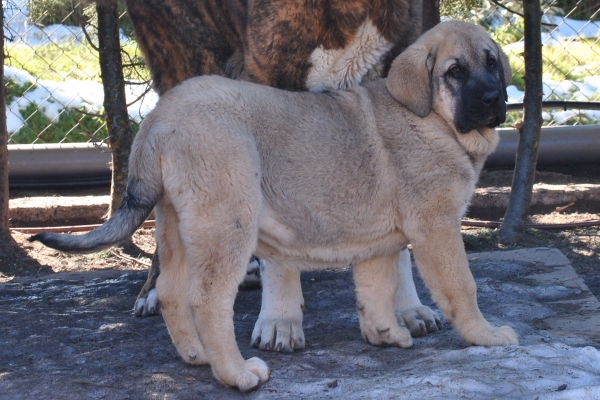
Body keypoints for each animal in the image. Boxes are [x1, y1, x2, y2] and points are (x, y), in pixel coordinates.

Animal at [31, 21, 520, 390]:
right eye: (455, 72)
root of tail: (158, 118)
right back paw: (236, 373)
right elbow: (462, 288)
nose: (494, 99)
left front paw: (386, 334)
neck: (434, 121)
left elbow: (376, 290)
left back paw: (196, 356)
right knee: (207, 300)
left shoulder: (379, 239)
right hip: (227, 224)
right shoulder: (438, 228)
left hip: (179, 226)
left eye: (492, 64)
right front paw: (486, 335)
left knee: (170, 292)